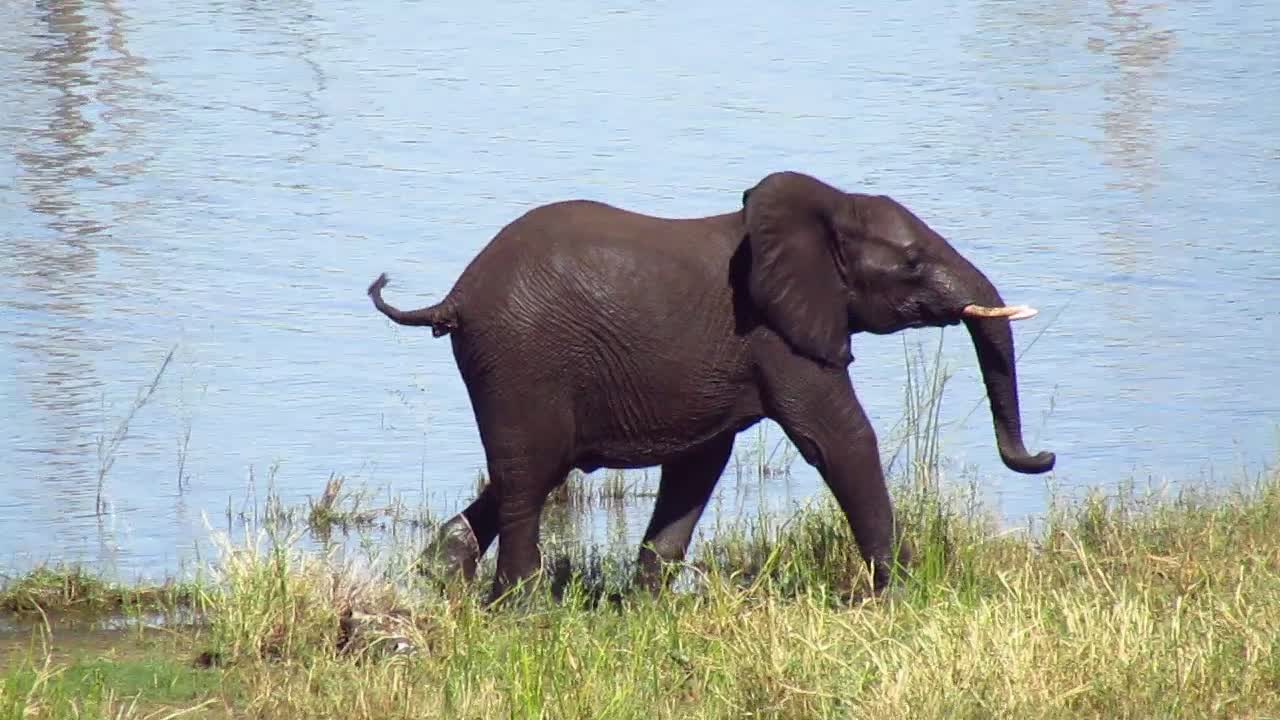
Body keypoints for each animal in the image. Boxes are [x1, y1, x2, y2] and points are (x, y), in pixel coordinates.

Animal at [366, 167, 1054, 599]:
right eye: (912, 264)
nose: (1043, 458)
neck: (824, 206)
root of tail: (456, 295)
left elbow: (699, 464)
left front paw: (645, 607)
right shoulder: (778, 334)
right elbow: (840, 439)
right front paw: (903, 594)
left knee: (527, 472)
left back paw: (442, 574)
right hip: (520, 360)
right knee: (529, 480)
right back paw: (519, 606)